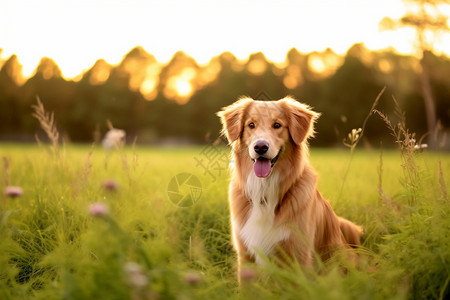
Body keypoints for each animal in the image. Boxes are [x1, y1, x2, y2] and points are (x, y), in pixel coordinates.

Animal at [218, 96, 362, 282]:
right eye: (251, 125)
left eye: (277, 125)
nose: (260, 147)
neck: (265, 190)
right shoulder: (246, 255)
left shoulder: (298, 254)